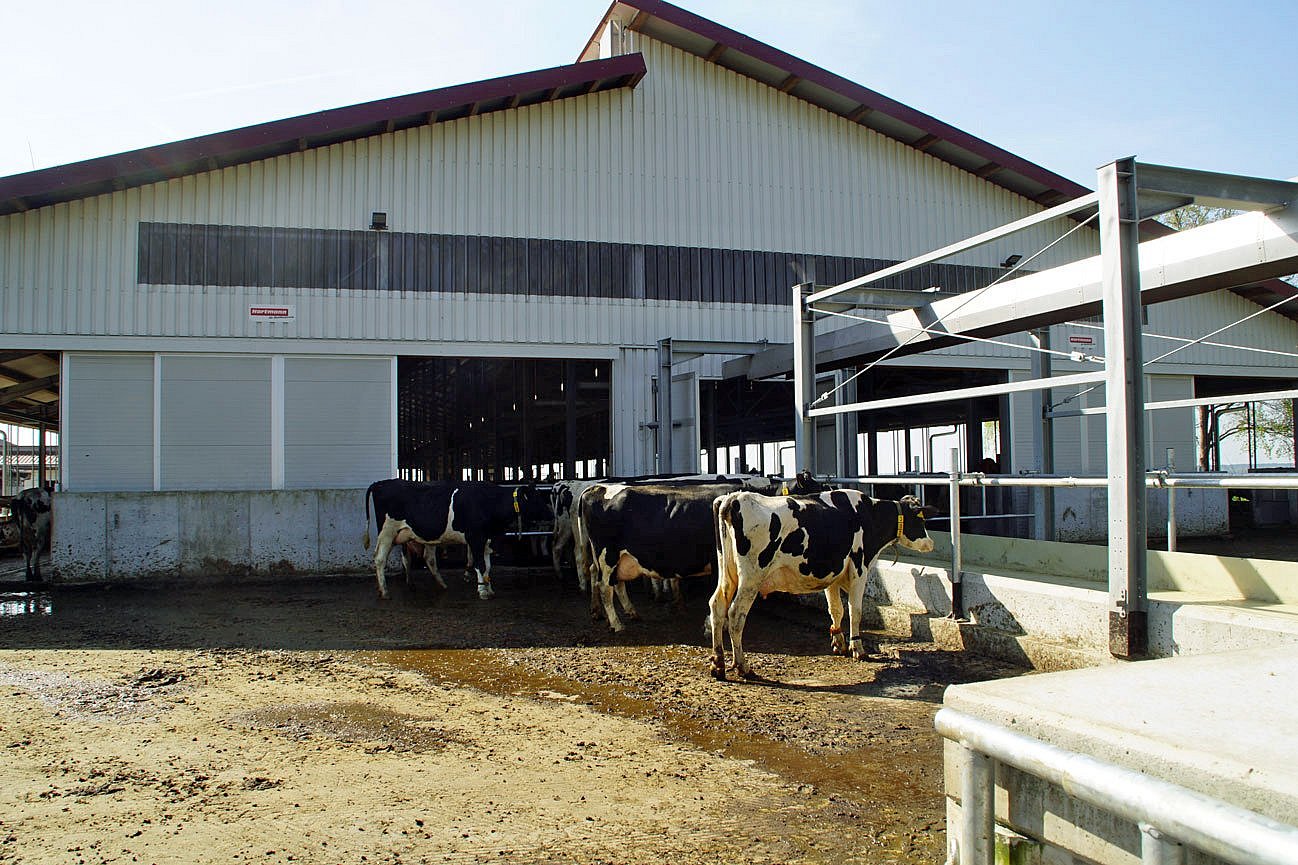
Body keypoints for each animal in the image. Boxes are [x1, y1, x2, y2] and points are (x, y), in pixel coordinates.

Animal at [363, 477, 545, 600]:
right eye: (536, 500)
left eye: (540, 497)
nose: (550, 513)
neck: (489, 502)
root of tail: (380, 483)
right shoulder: (475, 537)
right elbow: (479, 564)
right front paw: (482, 591)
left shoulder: (487, 540)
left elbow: (487, 566)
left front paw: (489, 588)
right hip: (387, 532)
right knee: (380, 558)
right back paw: (384, 591)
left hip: (407, 535)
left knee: (421, 559)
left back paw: (434, 584)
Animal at [706, 488, 939, 675]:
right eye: (920, 520)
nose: (930, 543)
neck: (869, 514)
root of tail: (734, 498)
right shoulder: (859, 569)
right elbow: (855, 611)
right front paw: (857, 649)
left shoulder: (832, 574)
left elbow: (836, 609)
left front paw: (838, 643)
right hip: (751, 578)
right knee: (736, 615)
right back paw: (742, 666)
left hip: (727, 574)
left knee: (717, 606)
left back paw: (718, 663)